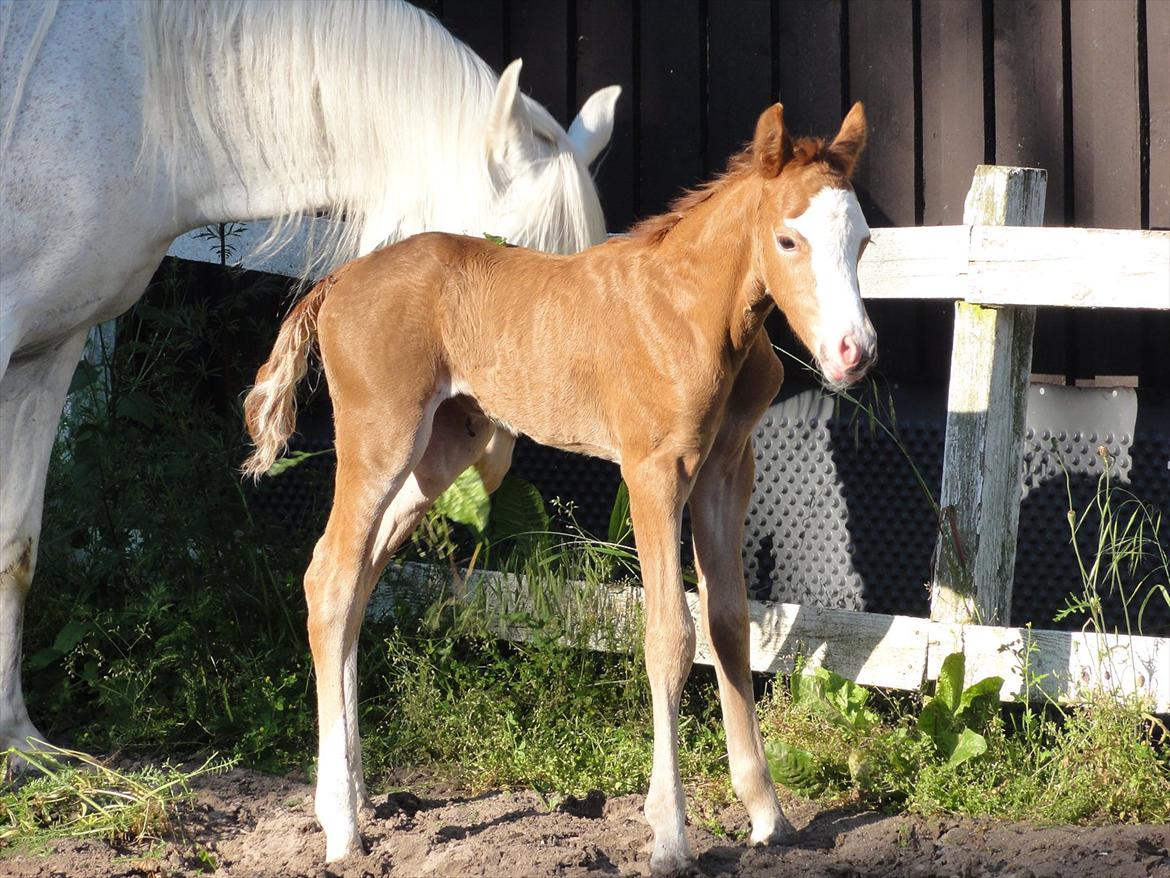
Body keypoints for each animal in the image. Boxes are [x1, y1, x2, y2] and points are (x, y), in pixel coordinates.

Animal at [243, 101, 875, 875]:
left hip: (445, 449)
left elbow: (729, 626)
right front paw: (670, 835)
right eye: (788, 239)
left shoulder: (728, 470)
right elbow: (669, 635)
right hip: (379, 439)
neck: (695, 312)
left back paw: (357, 798)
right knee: (329, 578)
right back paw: (339, 825)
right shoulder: (654, 471)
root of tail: (337, 280)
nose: (854, 352)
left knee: (358, 582)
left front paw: (767, 816)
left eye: (864, 242)